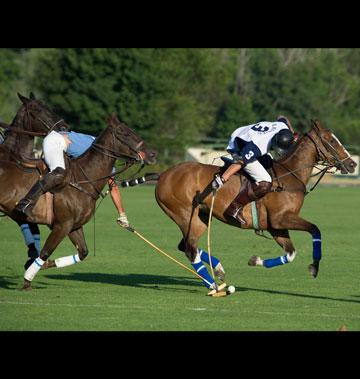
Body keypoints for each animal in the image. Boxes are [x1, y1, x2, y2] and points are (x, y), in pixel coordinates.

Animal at [0, 113, 157, 290]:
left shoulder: (74, 226)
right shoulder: (62, 225)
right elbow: (45, 252)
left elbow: (83, 252)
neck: (83, 179)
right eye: (125, 133)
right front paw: (27, 280)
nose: (152, 154)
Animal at [154, 119, 358, 290]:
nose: (352, 164)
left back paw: (218, 270)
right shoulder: (281, 219)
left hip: (200, 218)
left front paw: (255, 260)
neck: (290, 175)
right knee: (190, 249)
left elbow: (290, 253)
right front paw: (314, 267)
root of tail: (163, 175)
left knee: (187, 246)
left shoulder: (276, 227)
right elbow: (315, 229)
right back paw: (214, 286)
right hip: (184, 214)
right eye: (331, 141)